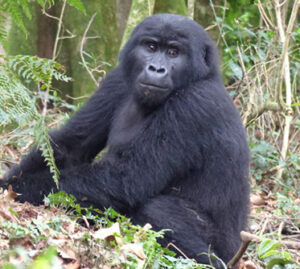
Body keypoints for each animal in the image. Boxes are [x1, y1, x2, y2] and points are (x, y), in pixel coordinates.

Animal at [2, 13, 250, 264]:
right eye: (151, 46)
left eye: (174, 52)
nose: (156, 68)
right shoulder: (118, 79)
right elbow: (70, 145)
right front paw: (9, 182)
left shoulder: (194, 104)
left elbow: (126, 179)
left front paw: (19, 188)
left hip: (227, 246)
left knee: (157, 209)